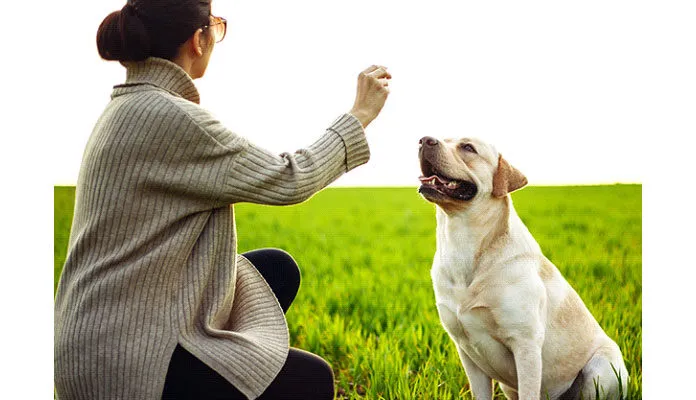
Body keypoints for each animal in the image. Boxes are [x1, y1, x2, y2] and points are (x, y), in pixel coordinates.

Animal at [418, 136, 632, 398]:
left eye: (468, 147)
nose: (424, 140)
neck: (463, 241)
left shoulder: (526, 344)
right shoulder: (466, 350)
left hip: (601, 369)